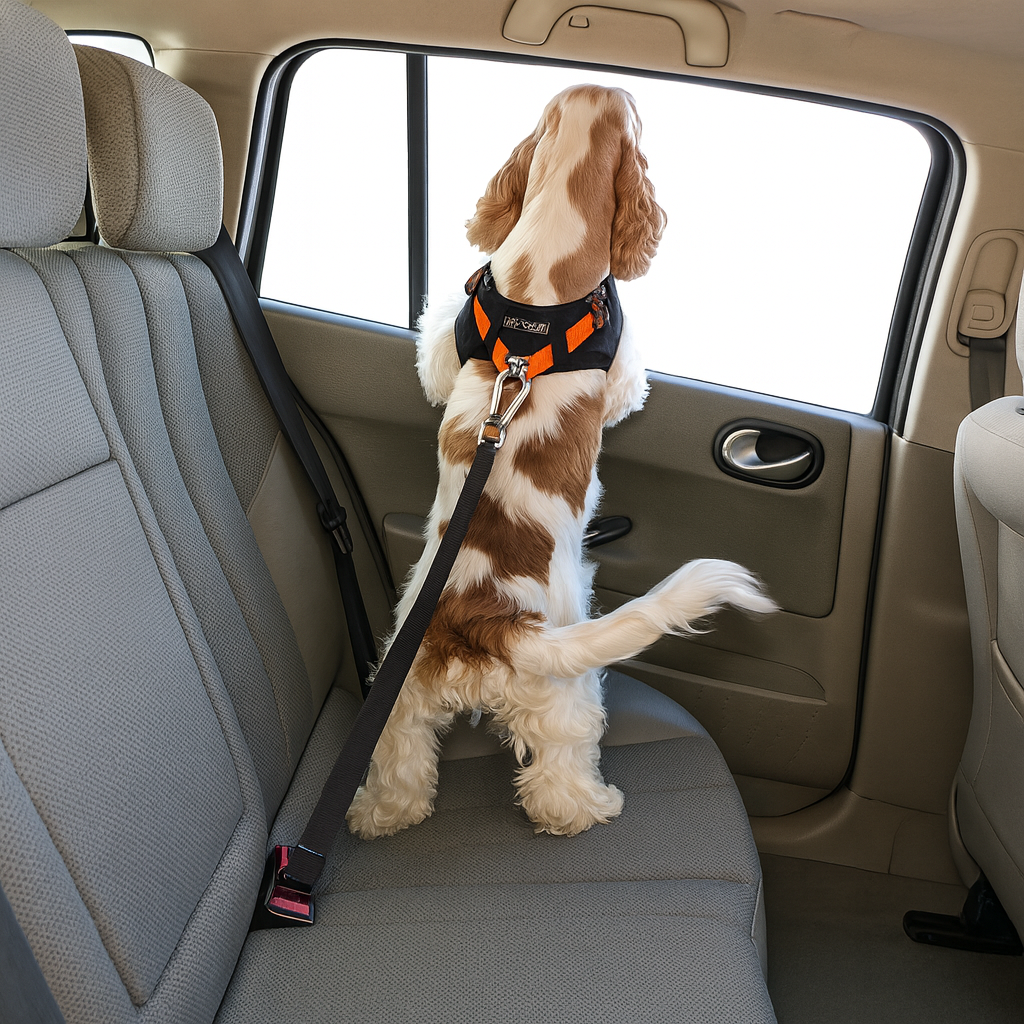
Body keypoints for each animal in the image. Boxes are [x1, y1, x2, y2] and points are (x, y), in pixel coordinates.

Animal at [347, 84, 775, 839]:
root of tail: (481, 619)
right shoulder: (622, 359)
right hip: (564, 685)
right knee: (558, 769)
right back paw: (588, 808)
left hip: (401, 688)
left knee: (401, 763)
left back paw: (378, 816)